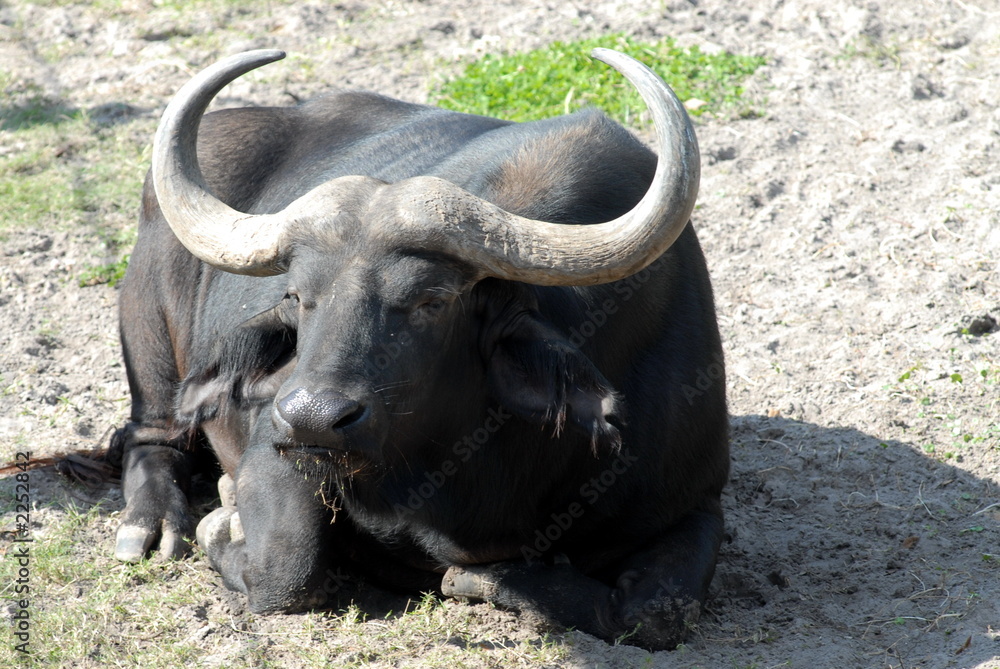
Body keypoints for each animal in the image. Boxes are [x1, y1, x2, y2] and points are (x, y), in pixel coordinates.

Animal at [108, 47, 729, 650]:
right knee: (150, 435)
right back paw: (151, 525)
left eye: (432, 300)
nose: (313, 418)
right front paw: (223, 518)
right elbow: (288, 567)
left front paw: (482, 578)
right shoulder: (276, 448)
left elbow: (656, 614)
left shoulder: (697, 504)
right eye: (297, 295)